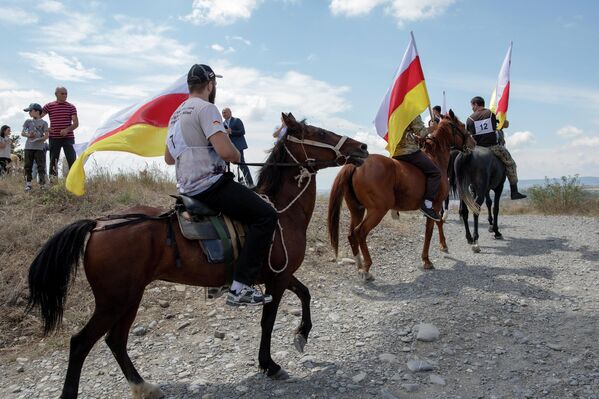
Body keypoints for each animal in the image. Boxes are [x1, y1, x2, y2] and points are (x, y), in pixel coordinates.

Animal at [25, 113, 368, 399]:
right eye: (318, 132)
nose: (363, 146)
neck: (282, 211)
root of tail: (98, 224)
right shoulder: (277, 278)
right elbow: (268, 321)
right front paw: (269, 364)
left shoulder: (279, 273)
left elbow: (306, 294)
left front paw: (302, 334)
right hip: (114, 300)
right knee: (82, 343)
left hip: (129, 297)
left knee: (115, 341)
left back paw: (144, 386)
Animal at [328, 108, 474, 280]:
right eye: (462, 125)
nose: (473, 142)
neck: (435, 159)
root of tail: (356, 165)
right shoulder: (436, 204)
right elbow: (429, 231)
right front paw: (427, 260)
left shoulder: (435, 207)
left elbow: (438, 222)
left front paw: (443, 246)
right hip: (377, 211)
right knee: (360, 232)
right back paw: (367, 267)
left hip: (357, 209)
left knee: (351, 234)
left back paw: (359, 264)